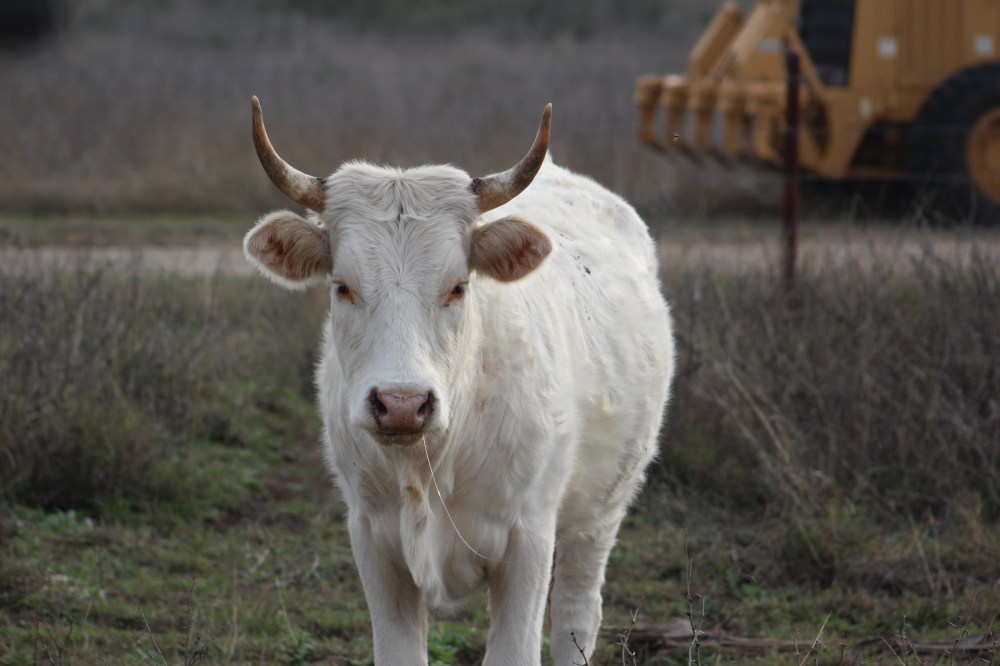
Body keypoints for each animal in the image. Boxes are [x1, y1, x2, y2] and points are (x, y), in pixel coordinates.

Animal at [243, 96, 675, 666]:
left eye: (458, 286)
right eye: (342, 286)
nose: (402, 404)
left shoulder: (529, 540)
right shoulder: (372, 541)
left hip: (599, 513)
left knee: (577, 617)